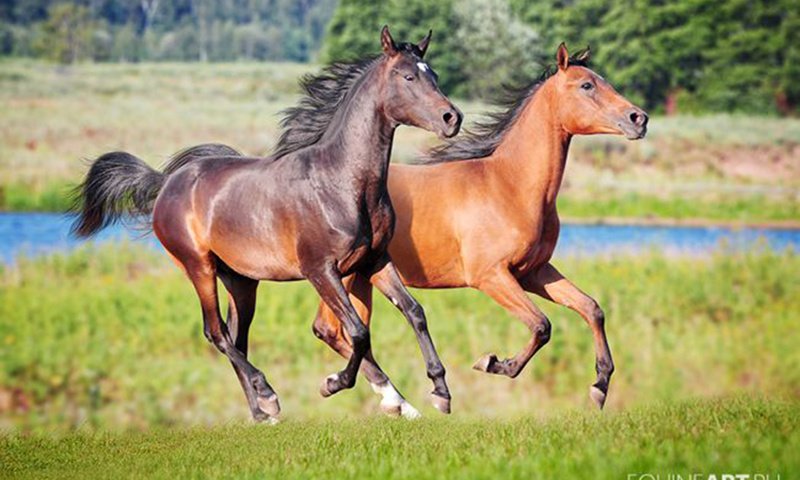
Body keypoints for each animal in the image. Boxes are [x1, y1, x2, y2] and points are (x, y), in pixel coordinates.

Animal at [74, 27, 462, 424]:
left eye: (433, 74)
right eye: (408, 77)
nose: (451, 118)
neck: (341, 181)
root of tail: (166, 182)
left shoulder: (375, 261)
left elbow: (414, 312)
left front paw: (439, 392)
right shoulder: (321, 270)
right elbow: (357, 331)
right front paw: (333, 383)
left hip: (241, 280)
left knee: (236, 337)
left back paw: (262, 413)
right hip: (198, 267)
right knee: (216, 332)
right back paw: (268, 395)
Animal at [312, 43, 648, 412]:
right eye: (587, 85)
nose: (639, 119)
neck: (510, 186)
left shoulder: (534, 272)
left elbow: (591, 308)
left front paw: (600, 385)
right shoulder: (491, 276)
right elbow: (541, 325)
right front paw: (493, 363)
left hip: (363, 276)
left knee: (342, 331)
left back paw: (392, 399)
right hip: (343, 275)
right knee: (331, 329)